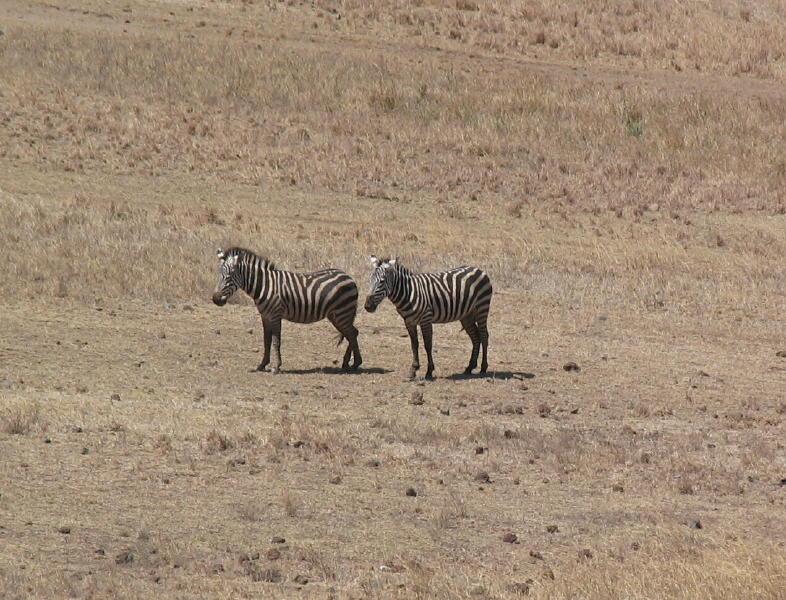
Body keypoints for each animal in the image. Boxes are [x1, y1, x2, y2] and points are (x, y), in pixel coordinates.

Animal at [213, 247, 362, 370]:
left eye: (229, 276)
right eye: (220, 275)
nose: (215, 299)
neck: (264, 285)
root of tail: (349, 277)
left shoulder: (275, 314)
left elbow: (276, 341)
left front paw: (276, 367)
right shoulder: (265, 316)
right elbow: (266, 340)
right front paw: (262, 364)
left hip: (342, 313)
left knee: (352, 333)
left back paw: (355, 363)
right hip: (336, 315)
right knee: (352, 333)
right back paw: (347, 363)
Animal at [362, 256, 490, 380]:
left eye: (382, 281)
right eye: (370, 280)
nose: (367, 306)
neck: (408, 292)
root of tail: (478, 269)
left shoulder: (426, 319)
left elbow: (428, 345)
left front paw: (429, 371)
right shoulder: (409, 322)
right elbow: (414, 345)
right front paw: (413, 370)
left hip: (482, 308)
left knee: (484, 336)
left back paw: (483, 368)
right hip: (466, 316)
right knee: (476, 337)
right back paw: (470, 367)